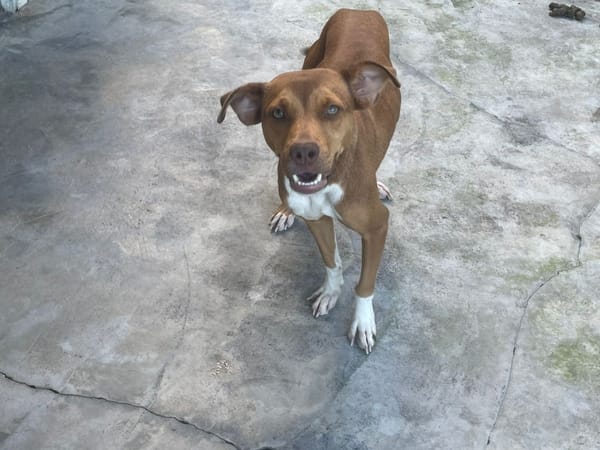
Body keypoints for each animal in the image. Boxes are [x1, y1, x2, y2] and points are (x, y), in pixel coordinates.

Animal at [217, 9, 401, 354]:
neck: (329, 182)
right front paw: (331, 291)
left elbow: (365, 282)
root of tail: (357, 11)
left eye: (332, 109)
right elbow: (331, 261)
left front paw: (363, 321)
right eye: (277, 113)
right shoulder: (316, 219)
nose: (303, 151)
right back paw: (285, 211)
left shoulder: (376, 227)